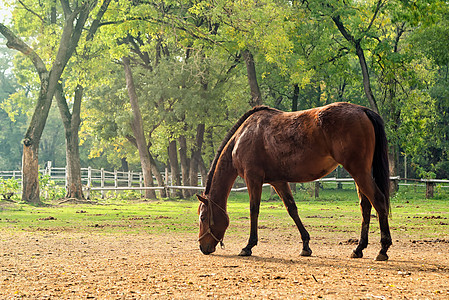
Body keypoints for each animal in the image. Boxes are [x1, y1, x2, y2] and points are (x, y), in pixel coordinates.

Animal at [198, 102, 390, 260]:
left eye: (203, 217)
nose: (202, 246)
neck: (242, 137)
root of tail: (362, 110)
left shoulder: (253, 179)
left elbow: (254, 210)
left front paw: (248, 246)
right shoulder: (279, 182)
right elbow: (292, 209)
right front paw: (306, 245)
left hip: (359, 172)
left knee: (379, 201)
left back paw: (383, 249)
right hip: (359, 174)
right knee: (366, 207)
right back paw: (359, 249)